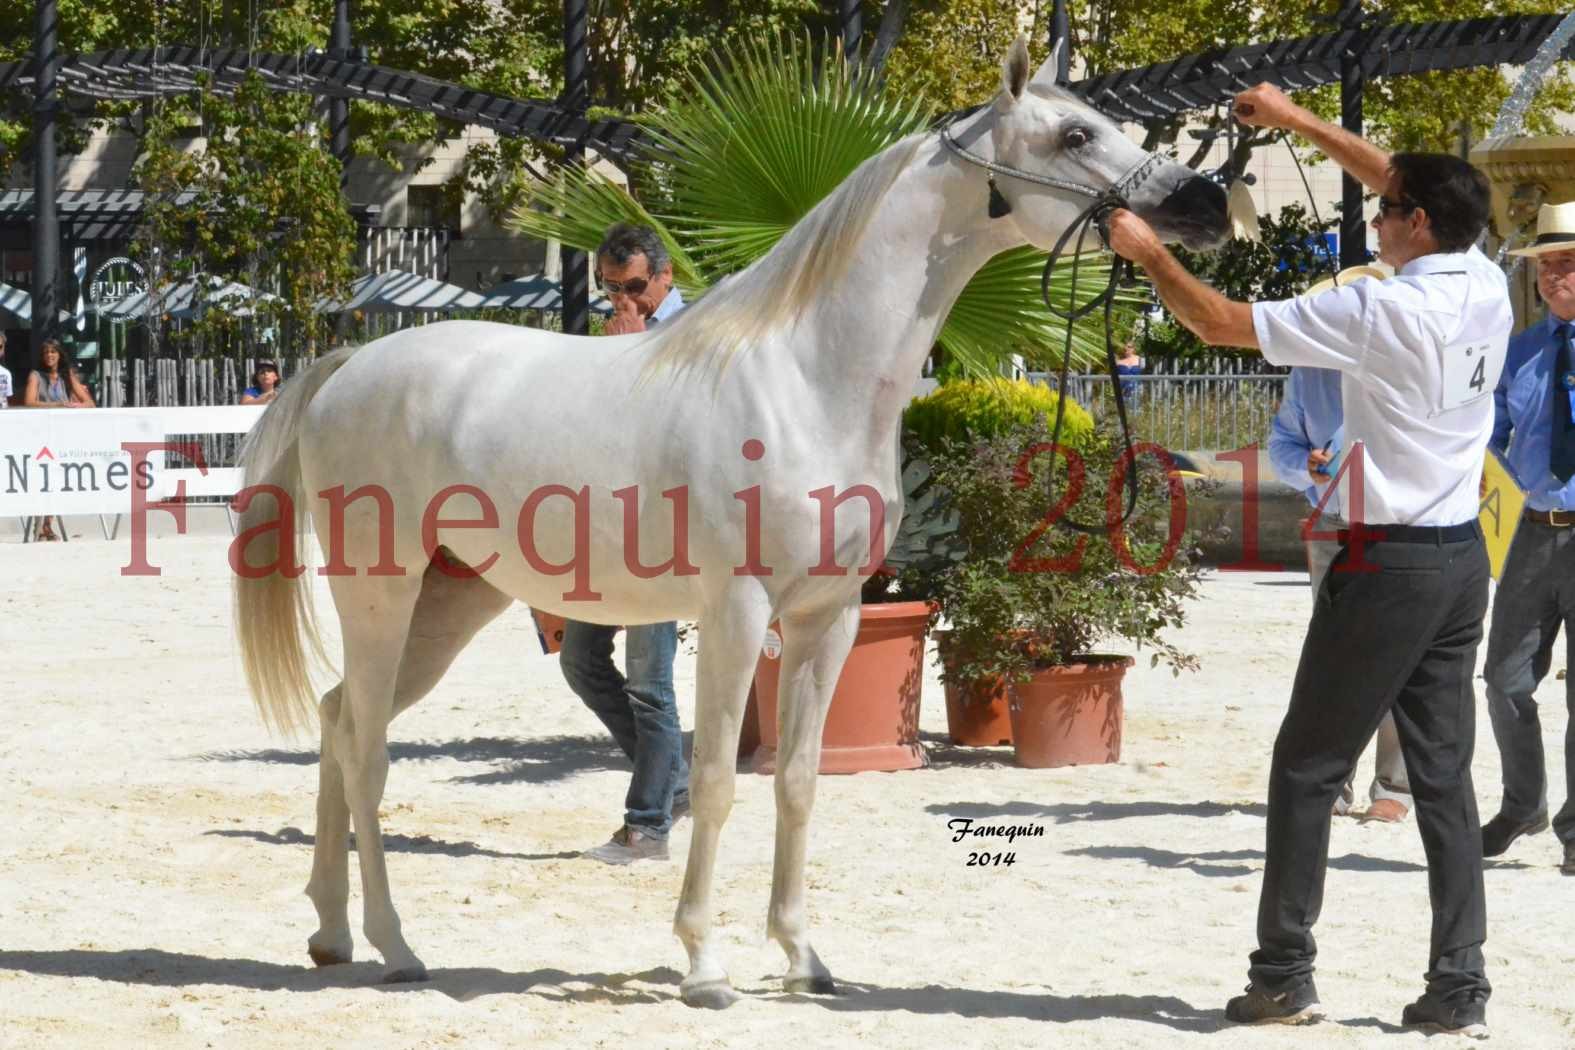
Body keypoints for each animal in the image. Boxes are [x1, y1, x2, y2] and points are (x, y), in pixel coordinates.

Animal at [233, 38, 1228, 1007]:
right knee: (366, 748)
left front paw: (801, 958)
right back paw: (396, 946)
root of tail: (350, 365)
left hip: (452, 604)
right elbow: (712, 782)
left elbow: (796, 780)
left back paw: (329, 933)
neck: (805, 379)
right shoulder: (736, 612)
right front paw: (704, 967)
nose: (1205, 203)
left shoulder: (831, 616)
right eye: (1072, 134)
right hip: (380, 592)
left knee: (336, 720)